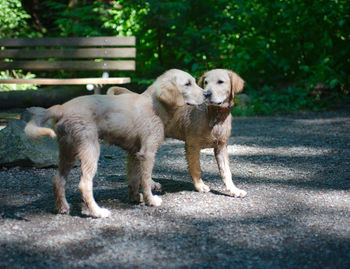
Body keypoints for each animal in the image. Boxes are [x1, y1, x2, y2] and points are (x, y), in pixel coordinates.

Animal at [25, 68, 205, 217]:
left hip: (67, 151)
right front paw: (151, 200)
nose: (207, 94)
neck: (155, 106)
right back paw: (97, 212)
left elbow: (134, 178)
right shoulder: (147, 153)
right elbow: (146, 179)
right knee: (84, 184)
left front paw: (135, 197)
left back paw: (62, 208)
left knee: (58, 180)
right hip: (90, 149)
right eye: (187, 84)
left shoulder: (134, 153)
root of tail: (62, 107)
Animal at [108, 68, 247, 197]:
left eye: (220, 82)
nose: (207, 93)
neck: (214, 114)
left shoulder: (221, 146)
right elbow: (196, 168)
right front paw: (200, 186)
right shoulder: (192, 145)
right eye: (206, 82)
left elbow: (226, 171)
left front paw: (234, 190)